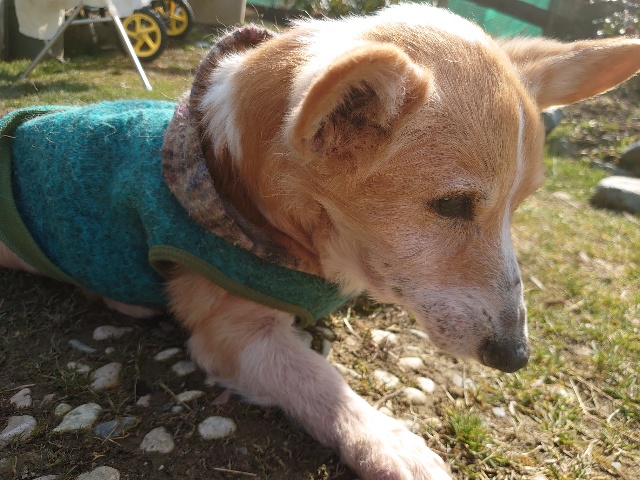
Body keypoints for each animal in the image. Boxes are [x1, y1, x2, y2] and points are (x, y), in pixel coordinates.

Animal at [1, 4, 639, 479]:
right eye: (453, 205)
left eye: (519, 205)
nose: (516, 357)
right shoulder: (233, 334)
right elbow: (320, 381)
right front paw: (390, 441)